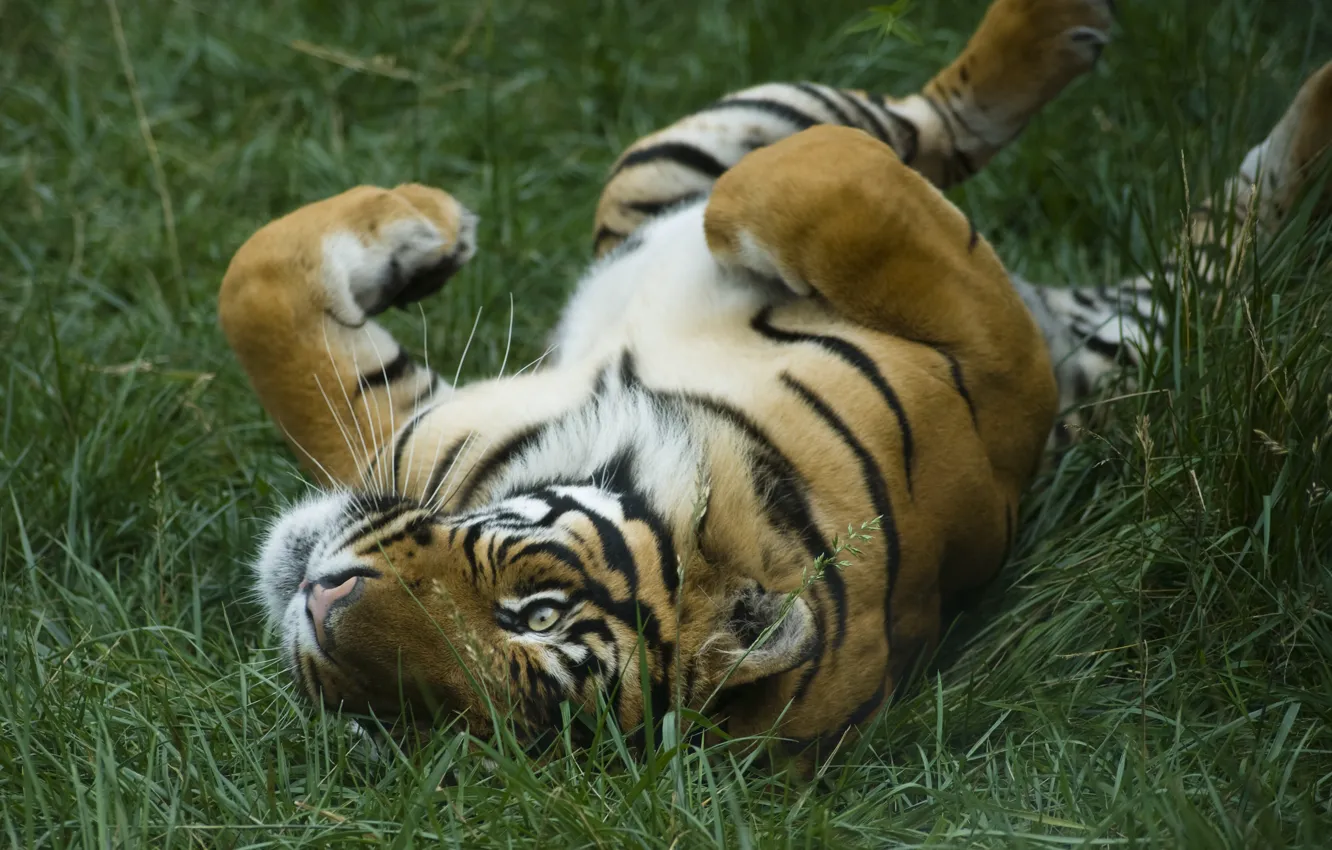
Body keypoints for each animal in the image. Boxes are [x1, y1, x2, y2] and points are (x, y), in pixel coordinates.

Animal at [219, 0, 1332, 759]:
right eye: (399, 711)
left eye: (535, 616)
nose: (319, 602)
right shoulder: (409, 439)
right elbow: (257, 287)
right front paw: (427, 234)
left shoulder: (997, 381)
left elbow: (805, 184)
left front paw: (430, 235)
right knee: (943, 135)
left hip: (691, 158)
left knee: (902, 135)